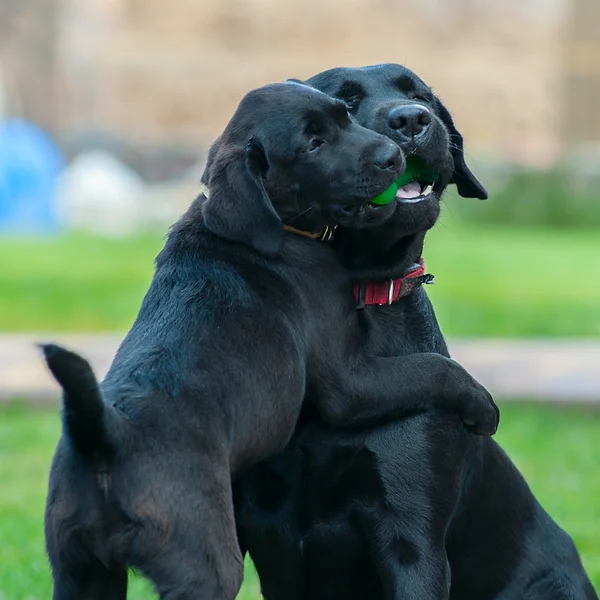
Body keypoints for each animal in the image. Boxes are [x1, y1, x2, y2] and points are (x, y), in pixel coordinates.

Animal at [41, 81, 496, 600]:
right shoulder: (348, 380)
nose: (394, 154)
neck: (272, 223)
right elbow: (434, 368)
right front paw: (483, 406)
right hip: (205, 564)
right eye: (314, 144)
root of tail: (105, 434)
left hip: (79, 570)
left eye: (344, 114)